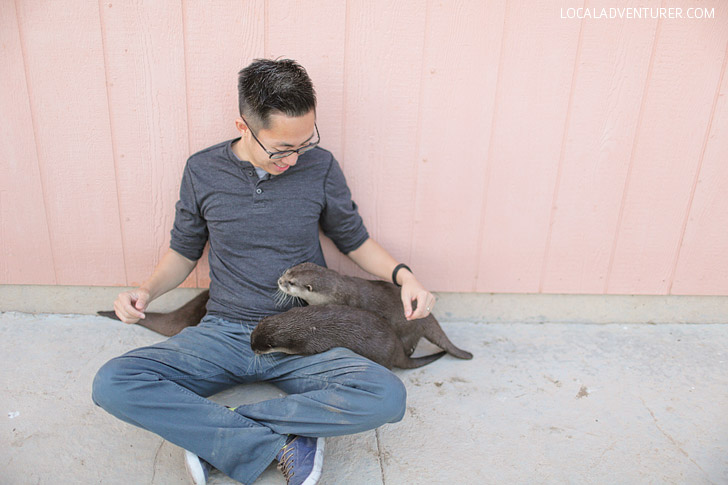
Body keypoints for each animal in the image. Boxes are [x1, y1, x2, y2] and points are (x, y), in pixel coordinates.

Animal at [250, 304, 446, 368]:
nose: (251, 348)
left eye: (259, 348)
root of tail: (397, 348)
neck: (300, 325)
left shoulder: (309, 343)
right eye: (251, 337)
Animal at [278, 260, 472, 360]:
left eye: (291, 283)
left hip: (408, 331)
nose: (280, 281)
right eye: (287, 271)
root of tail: (425, 316)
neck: (336, 293)